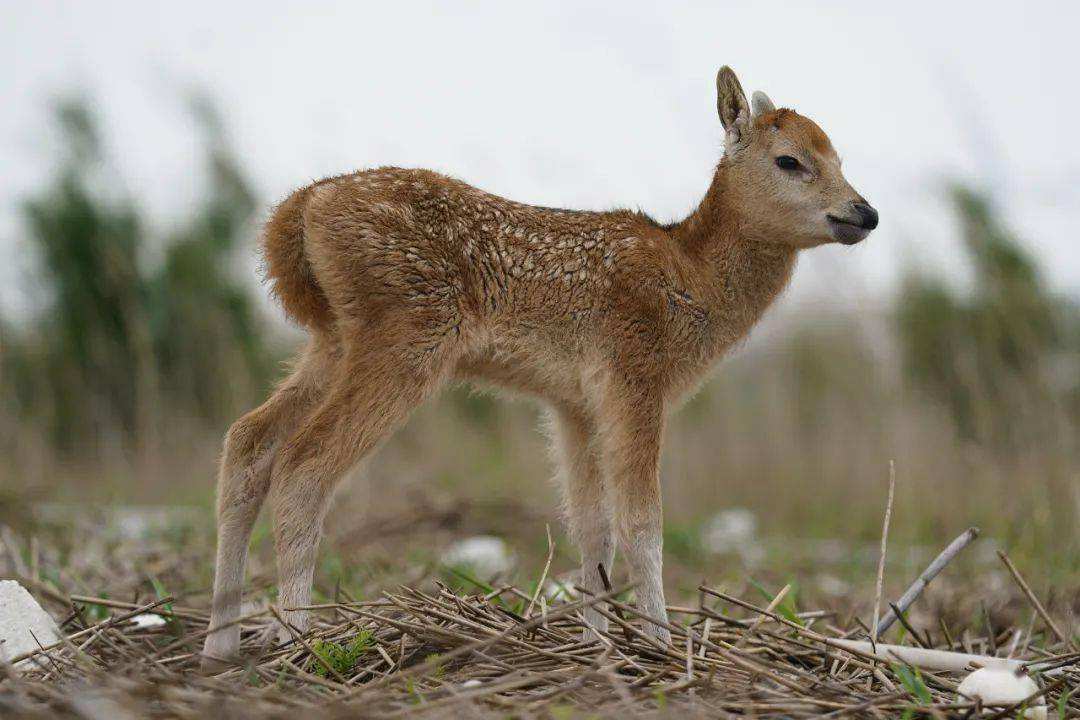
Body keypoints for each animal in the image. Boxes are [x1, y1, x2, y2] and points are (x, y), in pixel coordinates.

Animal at [201, 66, 878, 670]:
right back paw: (298, 639)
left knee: (248, 441)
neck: (693, 277)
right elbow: (643, 523)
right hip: (406, 338)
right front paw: (659, 644)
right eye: (790, 160)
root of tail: (301, 208)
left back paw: (220, 643)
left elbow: (592, 528)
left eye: (840, 157)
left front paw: (599, 645)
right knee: (304, 464)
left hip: (334, 340)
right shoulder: (635, 377)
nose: (863, 212)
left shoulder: (573, 403)